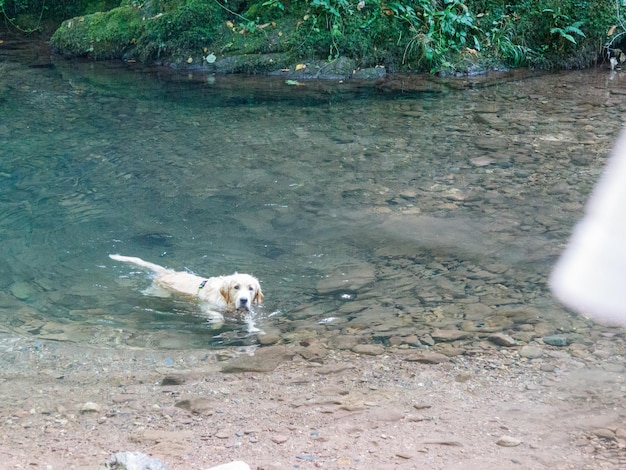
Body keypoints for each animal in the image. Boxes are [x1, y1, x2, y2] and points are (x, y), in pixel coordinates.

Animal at [108, 255, 262, 328]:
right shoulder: (205, 307)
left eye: (251, 289)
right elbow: (218, 316)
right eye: (236, 287)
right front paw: (216, 325)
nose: (244, 300)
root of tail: (168, 273)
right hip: (160, 292)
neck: (227, 302)